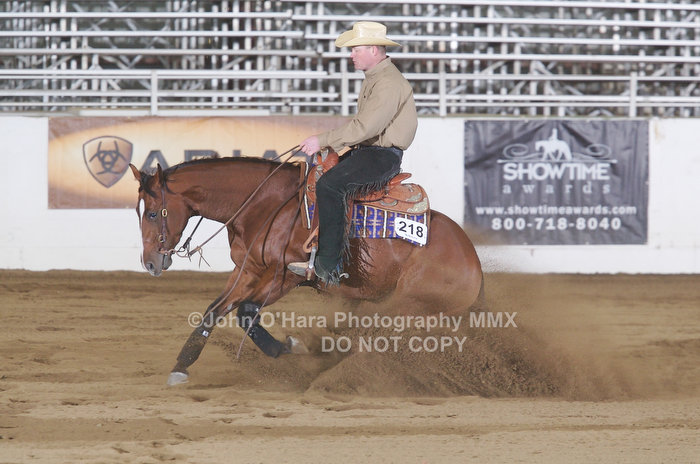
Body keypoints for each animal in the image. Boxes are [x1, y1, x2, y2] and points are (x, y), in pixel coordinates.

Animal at [129, 156, 483, 386]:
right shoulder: (248, 269)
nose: (150, 263)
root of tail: (473, 263)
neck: (265, 204)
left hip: (410, 307)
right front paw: (181, 365)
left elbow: (246, 311)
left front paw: (289, 347)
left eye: (151, 213)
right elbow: (215, 311)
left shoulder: (286, 276)